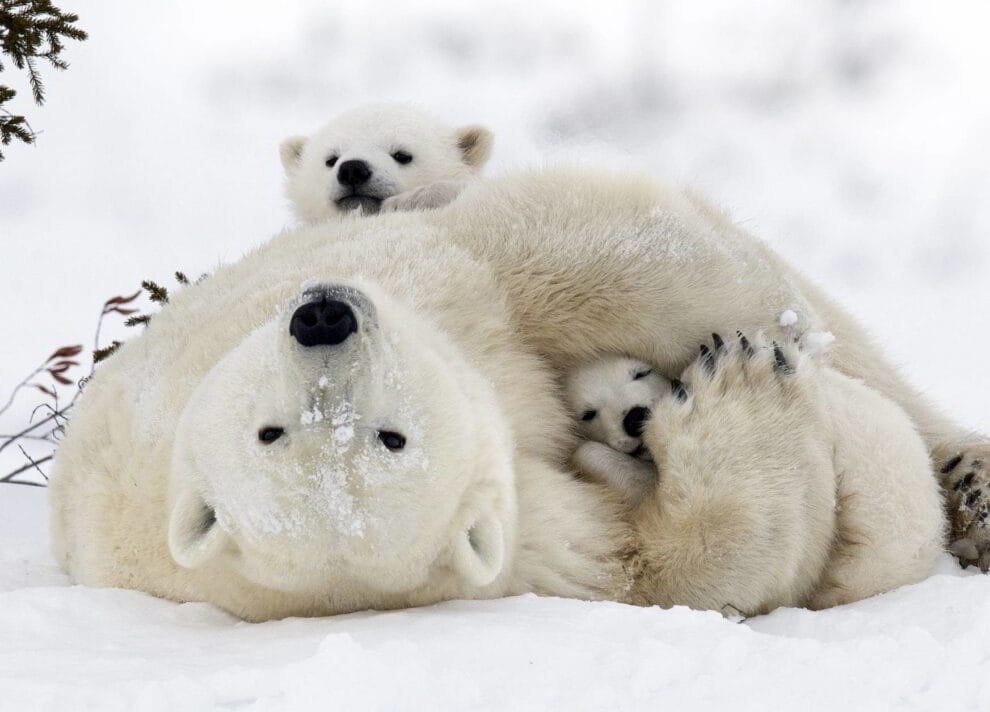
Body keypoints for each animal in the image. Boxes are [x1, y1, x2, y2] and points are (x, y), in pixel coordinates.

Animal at [49, 168, 973, 623]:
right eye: (395, 437)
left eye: (265, 429)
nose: (323, 319)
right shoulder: (521, 548)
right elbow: (664, 566)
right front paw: (738, 381)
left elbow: (575, 260)